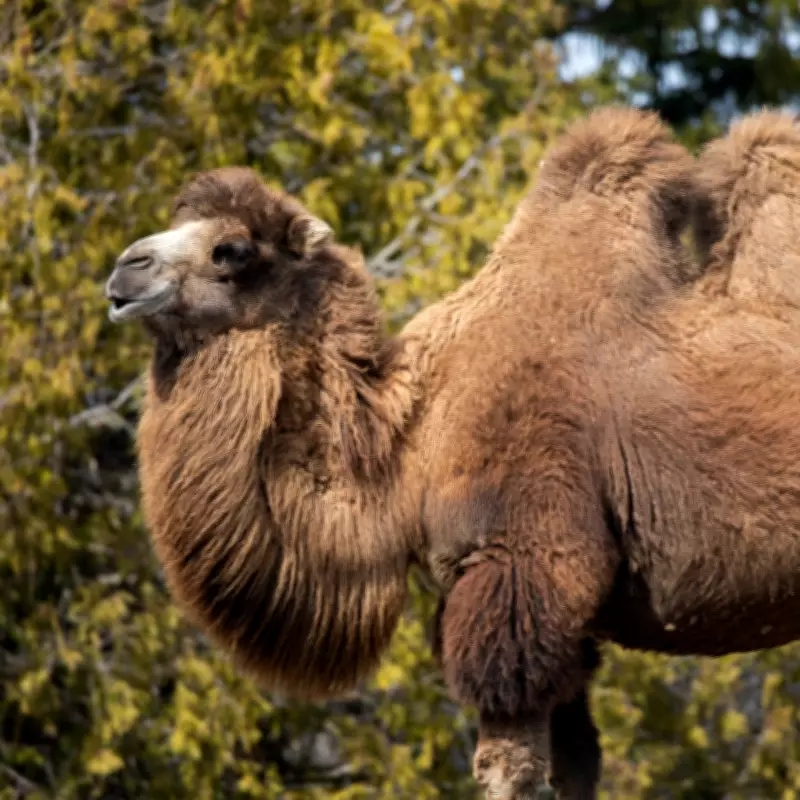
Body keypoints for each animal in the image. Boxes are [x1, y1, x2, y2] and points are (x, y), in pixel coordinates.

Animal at [103, 106, 800, 799]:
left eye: (234, 250)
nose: (124, 269)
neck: (412, 439)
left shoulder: (522, 565)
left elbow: (509, 768)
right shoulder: (559, 618)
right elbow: (576, 765)